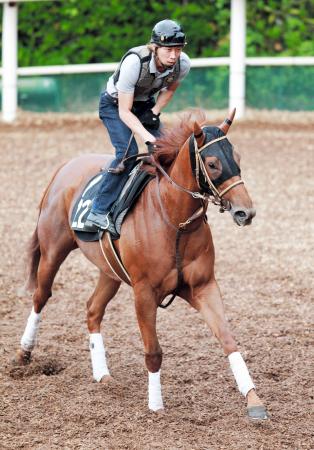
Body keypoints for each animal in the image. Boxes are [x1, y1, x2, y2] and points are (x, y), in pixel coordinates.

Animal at [15, 110, 268, 420]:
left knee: (93, 309)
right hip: (53, 251)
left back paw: (102, 374)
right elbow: (154, 351)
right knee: (41, 296)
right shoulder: (144, 292)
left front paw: (253, 399)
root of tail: (65, 167)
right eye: (212, 163)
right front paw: (156, 405)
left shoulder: (203, 286)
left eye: (238, 157)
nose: (246, 212)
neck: (174, 220)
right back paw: (24, 353)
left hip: (109, 270)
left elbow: (228, 339)